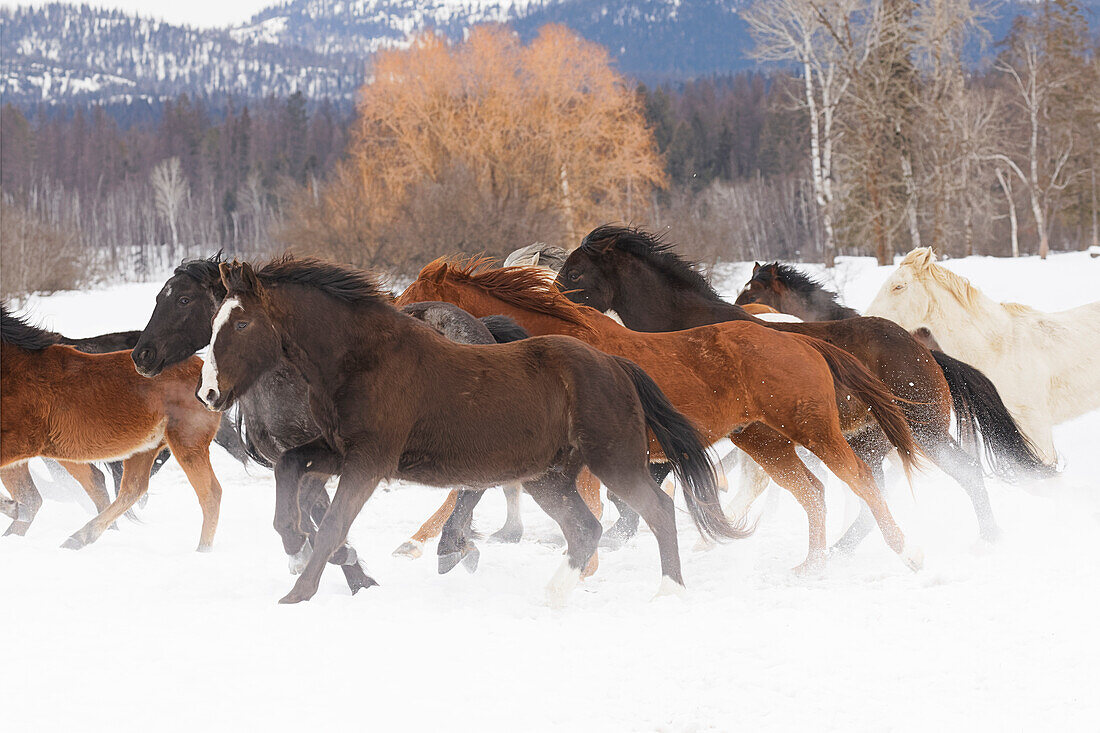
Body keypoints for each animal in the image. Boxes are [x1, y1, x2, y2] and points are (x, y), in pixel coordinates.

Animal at [0, 301, 223, 548]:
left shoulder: (20, 444)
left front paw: (13, 508)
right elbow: (29, 499)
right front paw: (15, 510)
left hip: (187, 443)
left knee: (210, 494)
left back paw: (202, 551)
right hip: (141, 449)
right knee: (131, 488)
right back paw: (79, 538)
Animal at [198, 254, 739, 603]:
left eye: (241, 324)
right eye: (215, 321)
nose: (209, 393)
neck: (363, 361)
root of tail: (617, 365)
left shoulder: (370, 461)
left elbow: (333, 523)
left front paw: (298, 593)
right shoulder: (336, 448)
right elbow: (291, 470)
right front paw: (293, 544)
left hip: (615, 461)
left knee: (657, 511)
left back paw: (668, 592)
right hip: (549, 478)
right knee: (585, 529)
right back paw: (550, 596)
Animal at [396, 256, 928, 572]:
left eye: (411, 301)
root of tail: (803, 340)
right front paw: (428, 545)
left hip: (813, 430)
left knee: (861, 478)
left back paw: (907, 552)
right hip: (763, 439)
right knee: (813, 491)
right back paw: (811, 565)